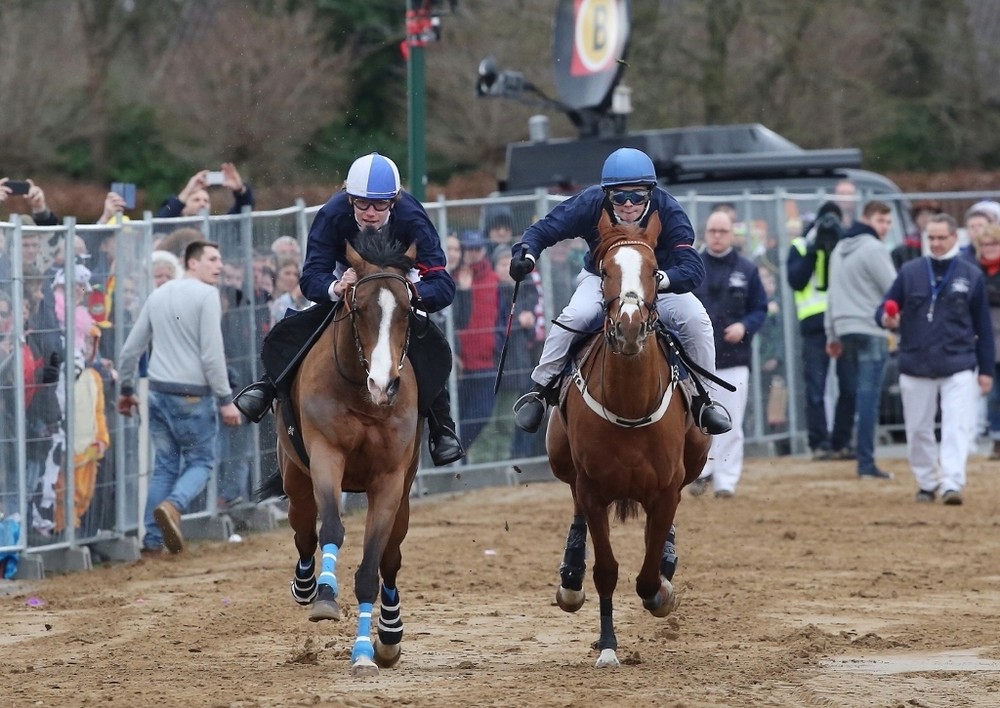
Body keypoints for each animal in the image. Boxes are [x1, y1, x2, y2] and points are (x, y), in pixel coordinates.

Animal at [259, 228, 421, 677]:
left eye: (407, 310)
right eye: (359, 308)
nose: (384, 384)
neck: (362, 396)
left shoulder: (390, 480)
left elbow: (373, 566)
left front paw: (366, 651)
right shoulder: (325, 455)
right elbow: (330, 528)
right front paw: (326, 597)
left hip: (403, 496)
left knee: (391, 558)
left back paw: (389, 633)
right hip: (296, 477)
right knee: (303, 529)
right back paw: (306, 585)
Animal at [545, 208, 711, 668]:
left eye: (655, 270)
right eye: (605, 270)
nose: (630, 328)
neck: (631, 406)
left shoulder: (666, 488)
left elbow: (650, 573)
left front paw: (663, 589)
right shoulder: (594, 488)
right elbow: (607, 570)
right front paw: (607, 646)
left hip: (694, 460)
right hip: (563, 462)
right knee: (575, 505)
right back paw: (570, 576)